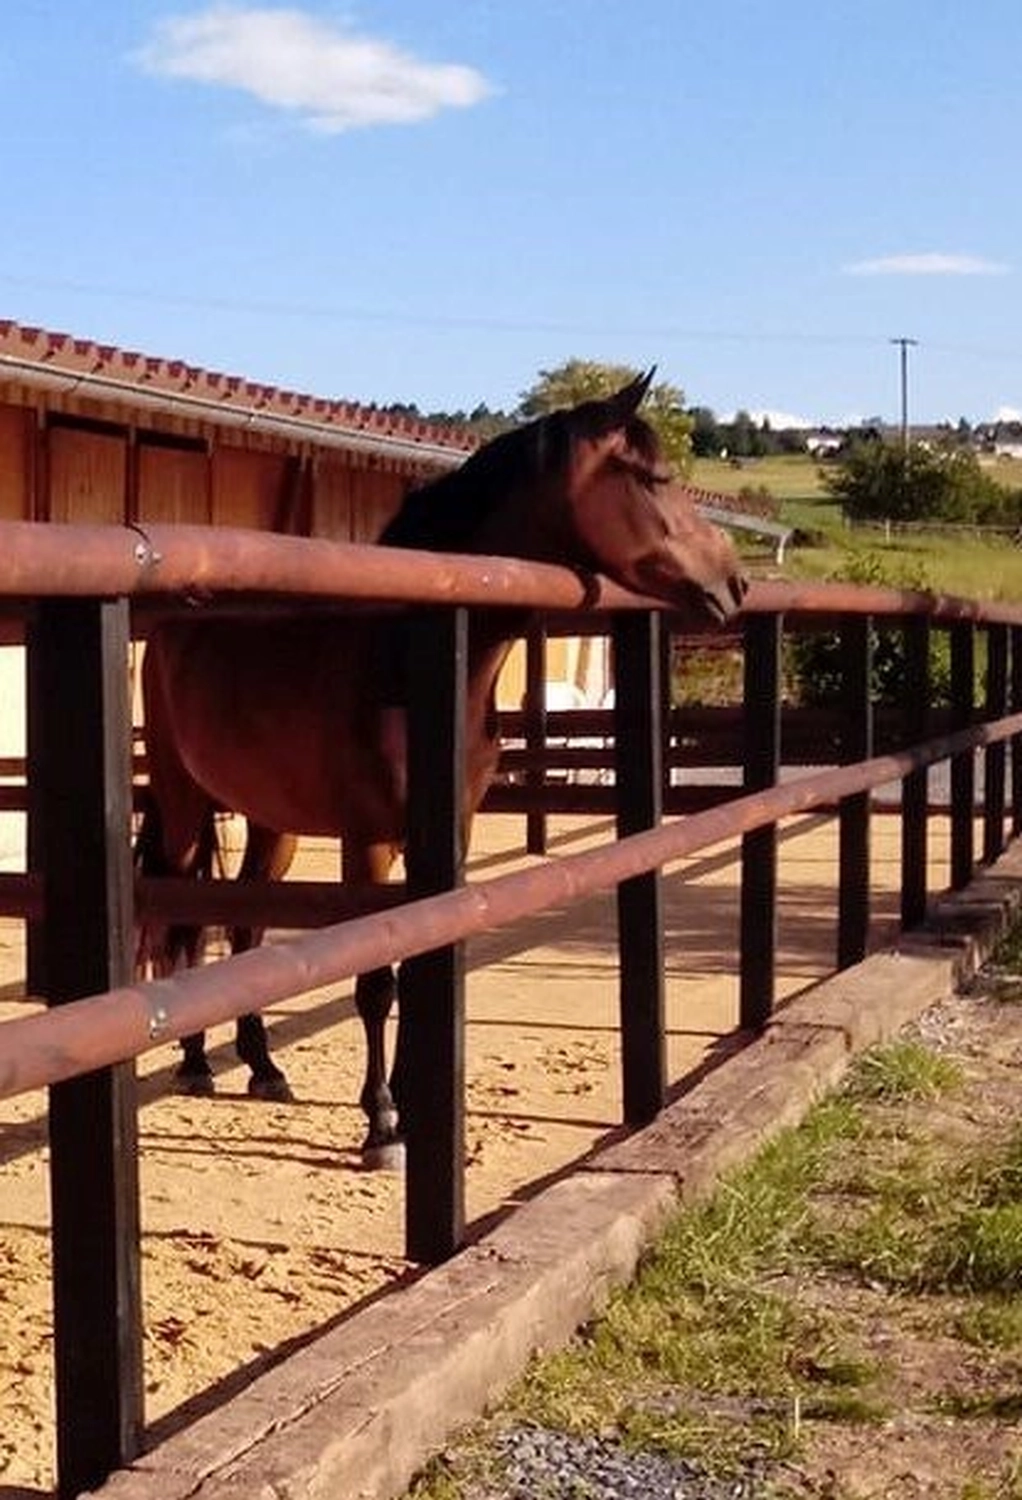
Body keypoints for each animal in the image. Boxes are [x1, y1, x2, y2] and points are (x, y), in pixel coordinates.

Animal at [136, 370, 747, 1166]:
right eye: (652, 477)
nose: (734, 584)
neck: (409, 658)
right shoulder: (369, 841)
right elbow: (377, 981)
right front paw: (382, 1123)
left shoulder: (447, 835)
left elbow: (424, 959)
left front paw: (413, 1107)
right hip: (184, 802)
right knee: (185, 916)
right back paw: (197, 1062)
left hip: (274, 820)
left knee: (242, 928)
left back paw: (263, 1067)